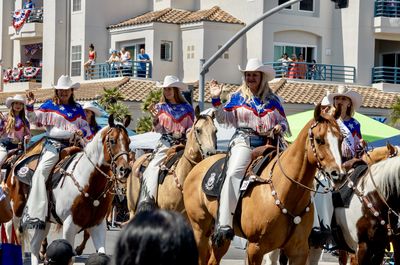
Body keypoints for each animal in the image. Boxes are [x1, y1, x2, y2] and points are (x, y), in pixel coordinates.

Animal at [5, 114, 131, 264]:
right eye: (112, 141)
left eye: (129, 142)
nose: (125, 170)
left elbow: (101, 252)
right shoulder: (69, 226)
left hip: (43, 219)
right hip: (16, 210)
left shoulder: (98, 225)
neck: (88, 184)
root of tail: (19, 160)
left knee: (35, 245)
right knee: (10, 231)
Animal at [184, 104, 344, 264]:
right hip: (200, 229)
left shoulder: (299, 252)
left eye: (341, 139)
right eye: (319, 139)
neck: (286, 192)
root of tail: (199, 166)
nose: (339, 174)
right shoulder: (255, 248)